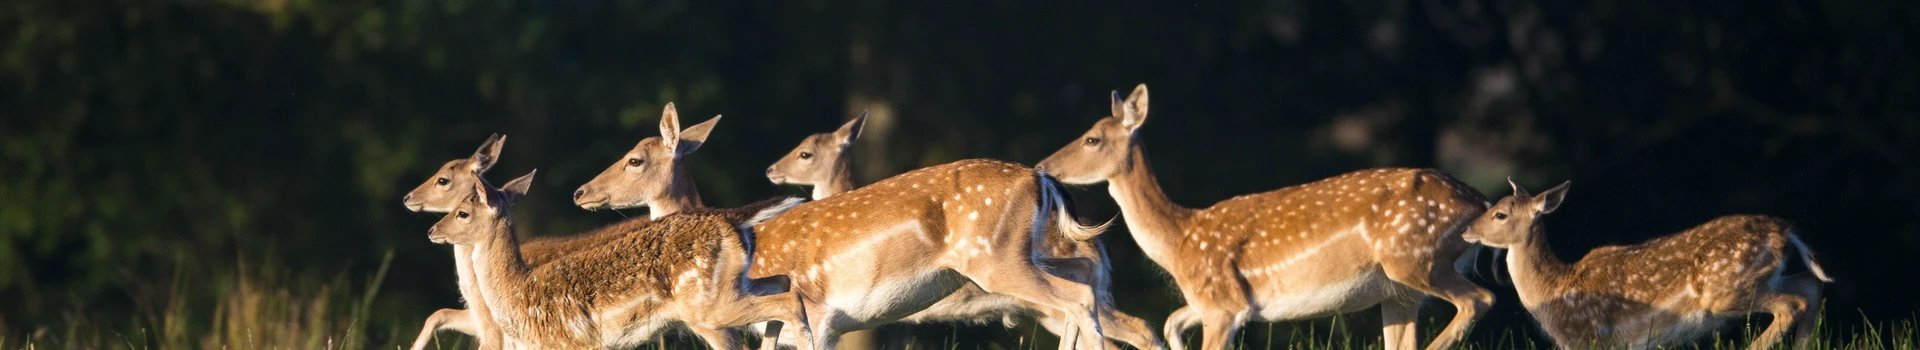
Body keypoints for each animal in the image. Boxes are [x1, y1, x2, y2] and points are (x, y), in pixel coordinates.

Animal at [432, 168, 814, 348]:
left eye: (463, 213)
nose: (433, 229)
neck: (516, 292)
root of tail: (729, 219)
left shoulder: (572, 342)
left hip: (707, 305)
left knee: (789, 301)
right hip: (733, 286)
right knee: (784, 284)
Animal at [583, 153, 1113, 350]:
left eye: (634, 160)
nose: (582, 192)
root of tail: (1039, 178)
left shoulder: (819, 315)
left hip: (994, 257)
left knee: (1078, 297)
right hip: (1024, 253)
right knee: (1087, 279)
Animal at [1036, 84, 1497, 350]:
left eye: (1093, 138)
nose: (1043, 165)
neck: (1179, 239)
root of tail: (1480, 204)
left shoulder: (1223, 303)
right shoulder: (1210, 302)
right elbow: (1169, 323)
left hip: (1415, 258)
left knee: (1481, 298)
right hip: (1399, 292)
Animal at [1459, 180, 1835, 350]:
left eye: (1500, 214)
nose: (1466, 230)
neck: (1553, 287)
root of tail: (1784, 229)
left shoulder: (1586, 337)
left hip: (1729, 290)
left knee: (1793, 303)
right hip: (1764, 278)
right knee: (1811, 285)